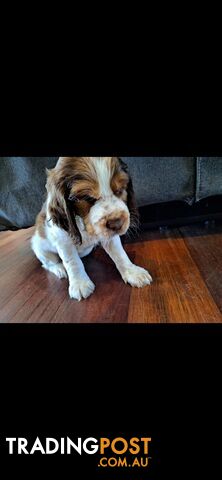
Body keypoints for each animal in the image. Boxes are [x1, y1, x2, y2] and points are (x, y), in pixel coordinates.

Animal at [31, 158, 152, 300]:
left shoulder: (109, 237)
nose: (117, 224)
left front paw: (133, 272)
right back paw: (59, 269)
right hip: (41, 249)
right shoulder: (63, 240)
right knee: (47, 263)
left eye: (119, 190)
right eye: (87, 197)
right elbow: (72, 262)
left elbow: (120, 254)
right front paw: (79, 284)